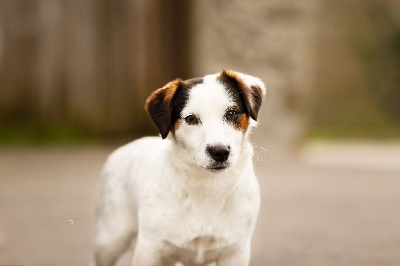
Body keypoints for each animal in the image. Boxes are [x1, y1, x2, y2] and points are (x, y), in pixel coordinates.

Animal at [94, 70, 266, 266]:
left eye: (231, 113)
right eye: (191, 118)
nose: (220, 152)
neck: (206, 186)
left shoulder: (235, 251)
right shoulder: (149, 250)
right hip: (109, 240)